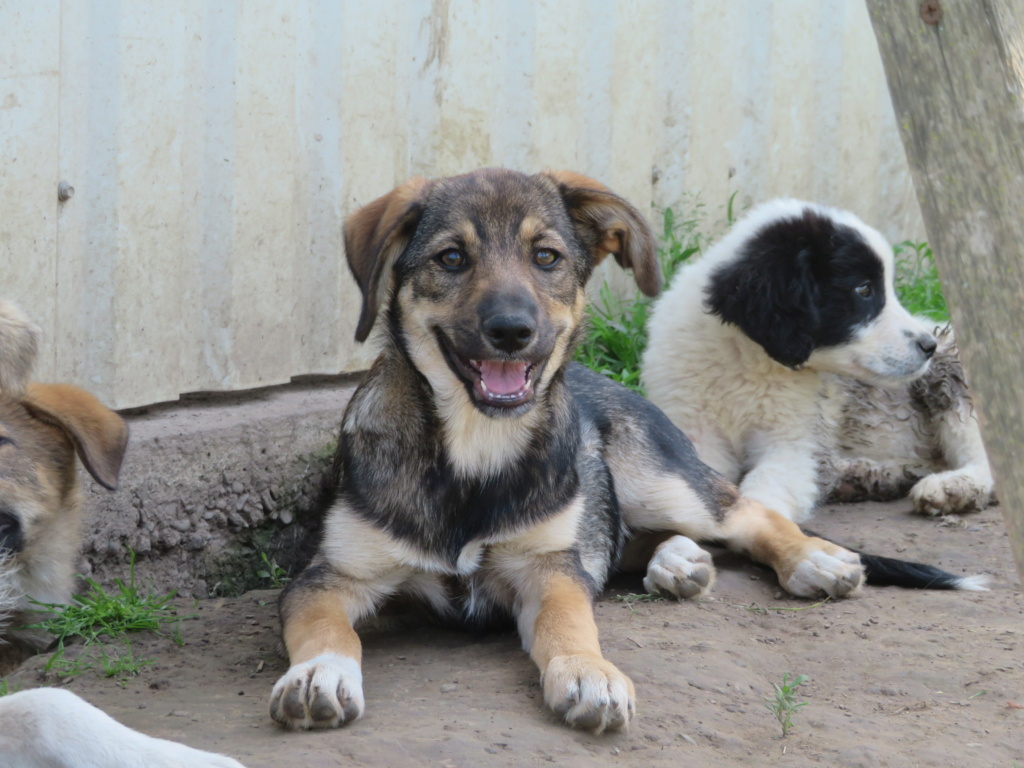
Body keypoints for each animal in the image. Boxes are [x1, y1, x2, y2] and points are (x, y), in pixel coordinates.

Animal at [270, 169, 872, 741]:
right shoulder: (329, 576)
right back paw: (677, 562)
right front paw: (318, 674)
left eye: (546, 257)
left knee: (745, 511)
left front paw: (590, 674)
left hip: (654, 480)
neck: (475, 448)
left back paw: (812, 560)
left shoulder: (550, 566)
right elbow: (328, 629)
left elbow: (568, 623)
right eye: (451, 258)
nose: (512, 331)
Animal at [647, 198, 991, 524]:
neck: (747, 358)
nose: (928, 345)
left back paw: (952, 487)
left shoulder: (793, 441)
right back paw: (868, 476)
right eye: (864, 289)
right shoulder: (693, 428)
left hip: (951, 370)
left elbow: (766, 488)